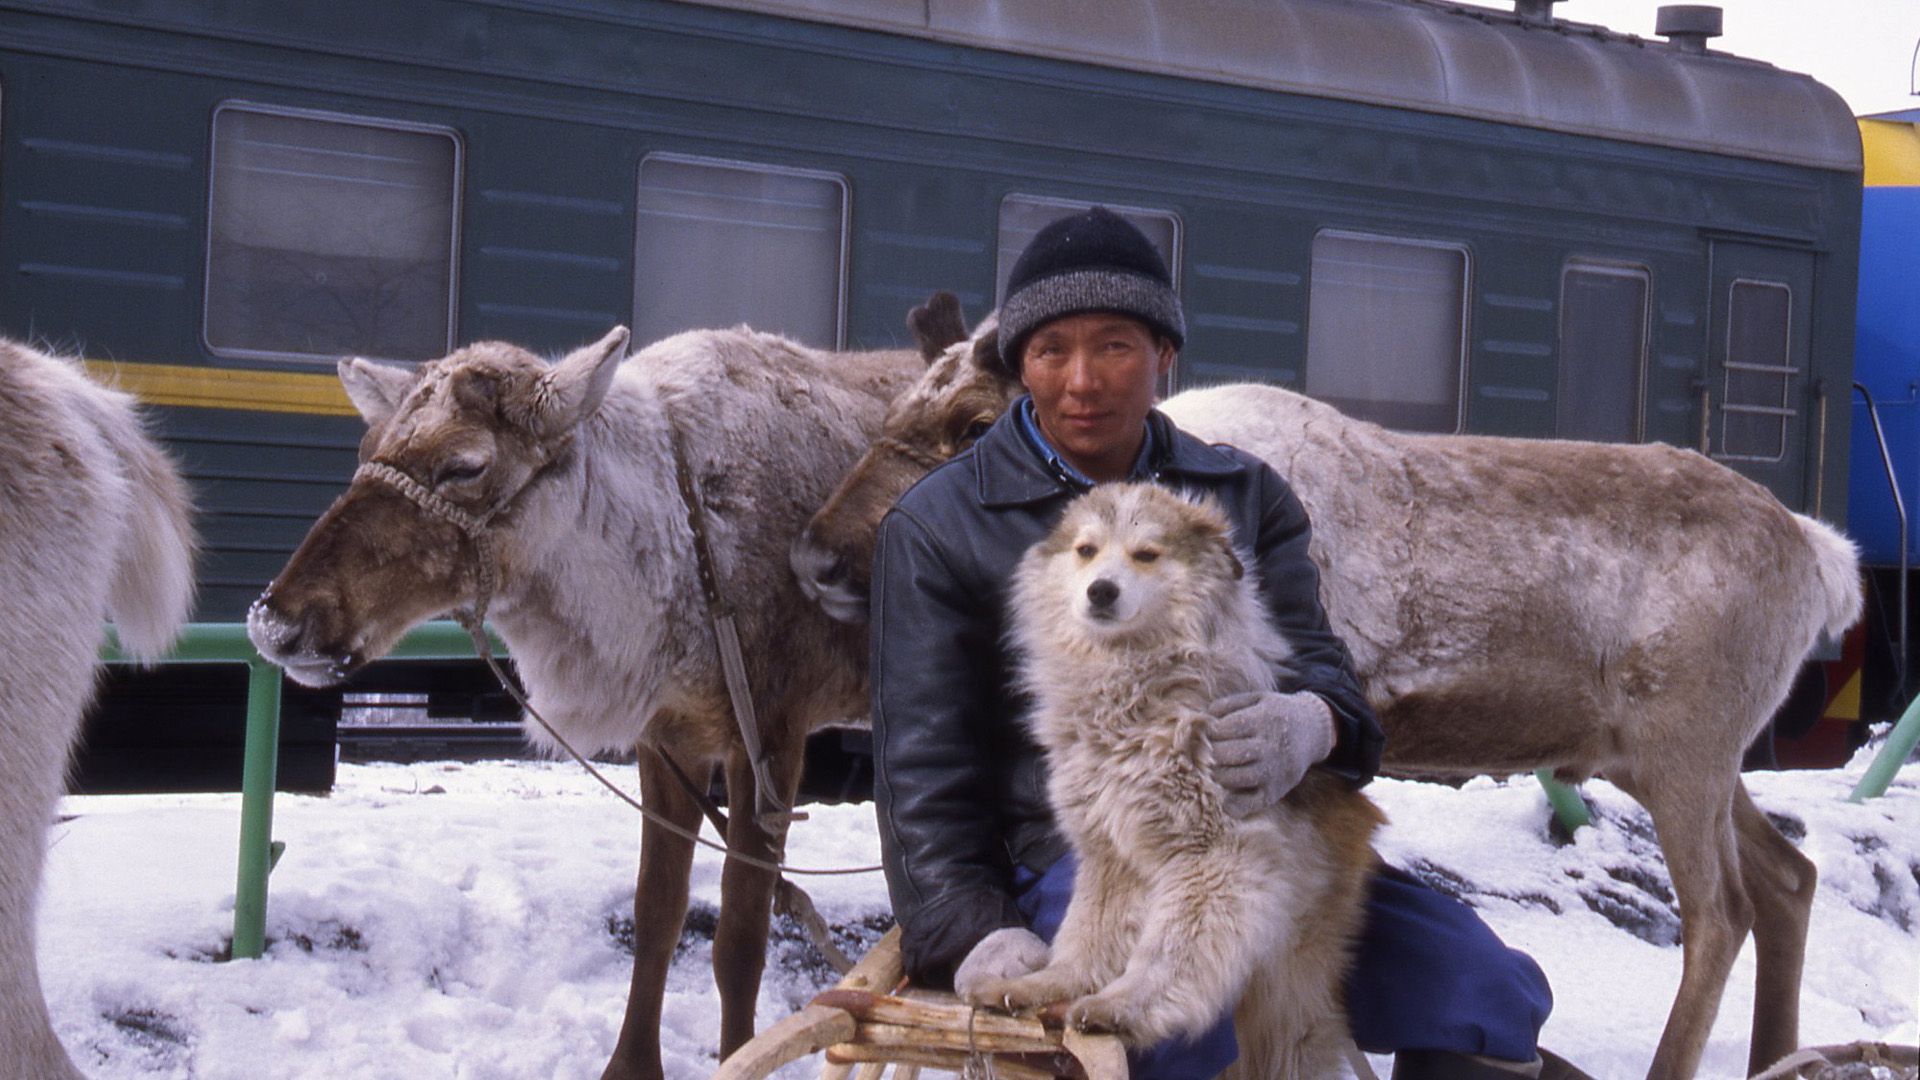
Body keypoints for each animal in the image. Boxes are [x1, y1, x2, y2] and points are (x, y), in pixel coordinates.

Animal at [975, 484, 1382, 1068]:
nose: (1101, 591)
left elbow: (1169, 951)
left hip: (1289, 986)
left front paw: (1123, 1006)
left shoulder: (1215, 855)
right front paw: (1050, 985)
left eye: (1146, 554)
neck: (1133, 689)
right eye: (1086, 551)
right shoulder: (1110, 852)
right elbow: (1087, 937)